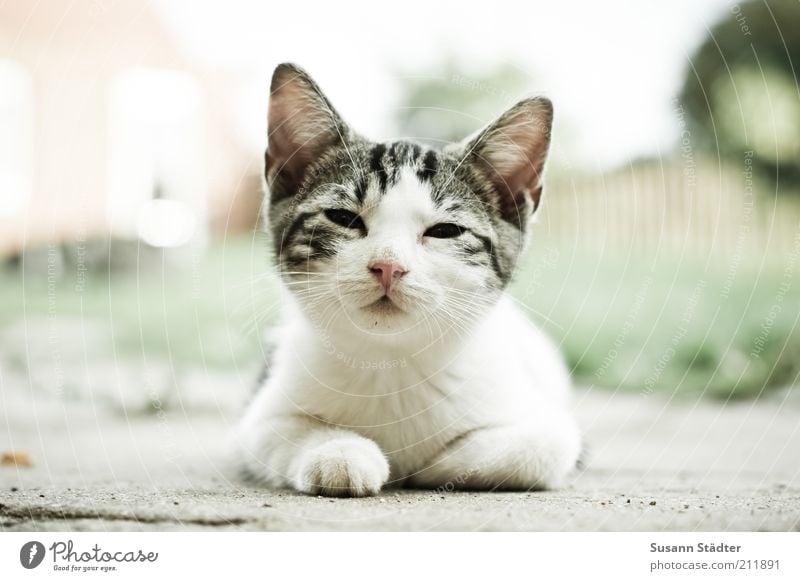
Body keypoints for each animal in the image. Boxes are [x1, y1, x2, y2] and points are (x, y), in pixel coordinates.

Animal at [238, 65, 580, 496]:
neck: (391, 361)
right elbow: (281, 430)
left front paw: (434, 466)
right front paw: (339, 452)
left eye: (445, 230)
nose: (388, 266)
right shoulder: (261, 414)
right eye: (344, 218)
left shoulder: (551, 424)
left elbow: (539, 448)